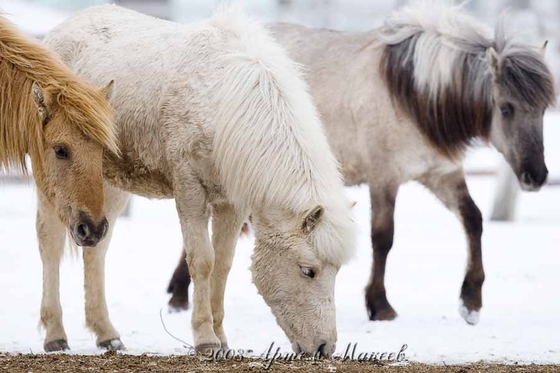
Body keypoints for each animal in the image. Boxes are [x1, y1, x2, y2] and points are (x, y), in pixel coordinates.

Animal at [39, 5, 354, 354]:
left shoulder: (232, 203)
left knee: (96, 249)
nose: (325, 348)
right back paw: (55, 334)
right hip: (53, 181)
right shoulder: (190, 189)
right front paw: (205, 339)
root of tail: (60, 30)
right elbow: (203, 260)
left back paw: (106, 333)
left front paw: (222, 336)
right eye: (308, 271)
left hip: (108, 183)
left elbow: (224, 264)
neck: (222, 101)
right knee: (50, 245)